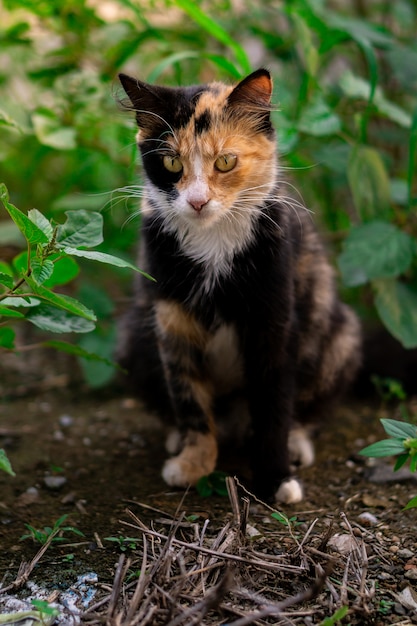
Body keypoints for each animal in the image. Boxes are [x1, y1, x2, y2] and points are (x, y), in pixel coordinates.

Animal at [116, 68, 360, 504]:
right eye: (171, 161)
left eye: (226, 161)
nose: (196, 201)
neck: (213, 241)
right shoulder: (172, 320)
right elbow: (189, 396)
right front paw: (193, 463)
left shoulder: (273, 318)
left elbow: (273, 405)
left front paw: (276, 479)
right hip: (132, 336)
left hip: (340, 337)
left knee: (307, 408)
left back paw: (296, 443)